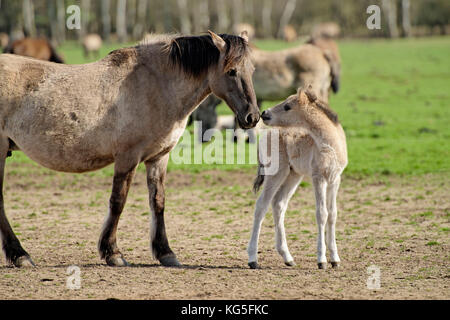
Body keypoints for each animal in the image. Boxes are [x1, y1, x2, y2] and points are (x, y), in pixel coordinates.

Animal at [0, 31, 258, 268]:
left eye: (252, 70)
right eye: (231, 71)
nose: (252, 117)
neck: (155, 84)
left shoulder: (158, 158)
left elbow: (158, 201)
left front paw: (165, 253)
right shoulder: (127, 157)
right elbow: (118, 201)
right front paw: (112, 253)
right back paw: (20, 255)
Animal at [246, 87, 348, 270]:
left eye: (287, 106)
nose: (264, 113)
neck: (331, 145)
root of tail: (265, 134)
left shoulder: (335, 179)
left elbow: (333, 214)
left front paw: (335, 259)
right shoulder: (318, 178)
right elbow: (321, 214)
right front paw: (321, 260)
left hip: (293, 175)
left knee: (279, 204)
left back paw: (287, 257)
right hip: (276, 174)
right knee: (261, 206)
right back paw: (252, 259)